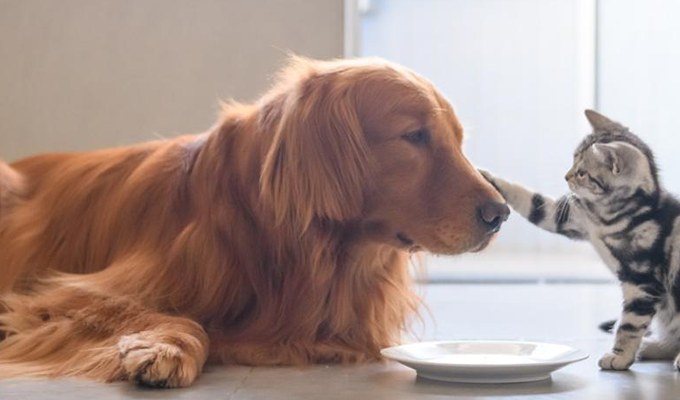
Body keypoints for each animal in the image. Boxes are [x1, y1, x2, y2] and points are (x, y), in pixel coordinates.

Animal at [0, 56, 504, 388]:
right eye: (414, 136)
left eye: (457, 140)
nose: (499, 214)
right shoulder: (63, 295)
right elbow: (172, 316)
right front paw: (165, 348)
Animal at [484, 110, 680, 372]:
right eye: (573, 162)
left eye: (582, 172)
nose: (566, 176)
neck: (606, 217)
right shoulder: (572, 218)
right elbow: (533, 202)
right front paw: (487, 177)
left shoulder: (642, 280)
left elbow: (629, 323)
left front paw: (620, 356)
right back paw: (651, 347)